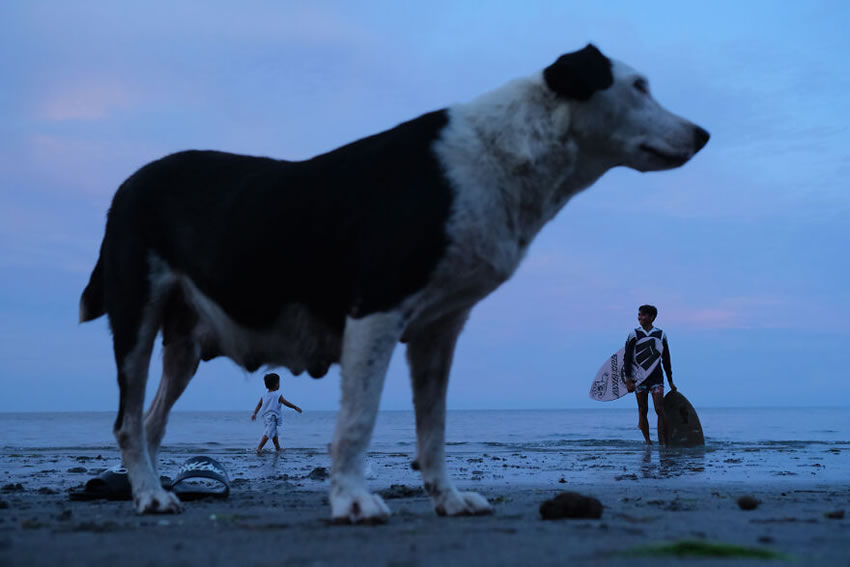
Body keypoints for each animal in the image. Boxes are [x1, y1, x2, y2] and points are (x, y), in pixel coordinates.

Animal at [79, 44, 704, 524]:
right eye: (639, 86)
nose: (703, 133)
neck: (501, 155)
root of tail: (126, 186)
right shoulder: (375, 313)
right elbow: (357, 422)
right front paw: (353, 501)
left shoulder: (438, 332)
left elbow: (434, 428)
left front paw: (448, 500)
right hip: (135, 319)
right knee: (126, 421)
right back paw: (150, 495)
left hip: (184, 344)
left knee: (151, 422)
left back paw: (151, 492)